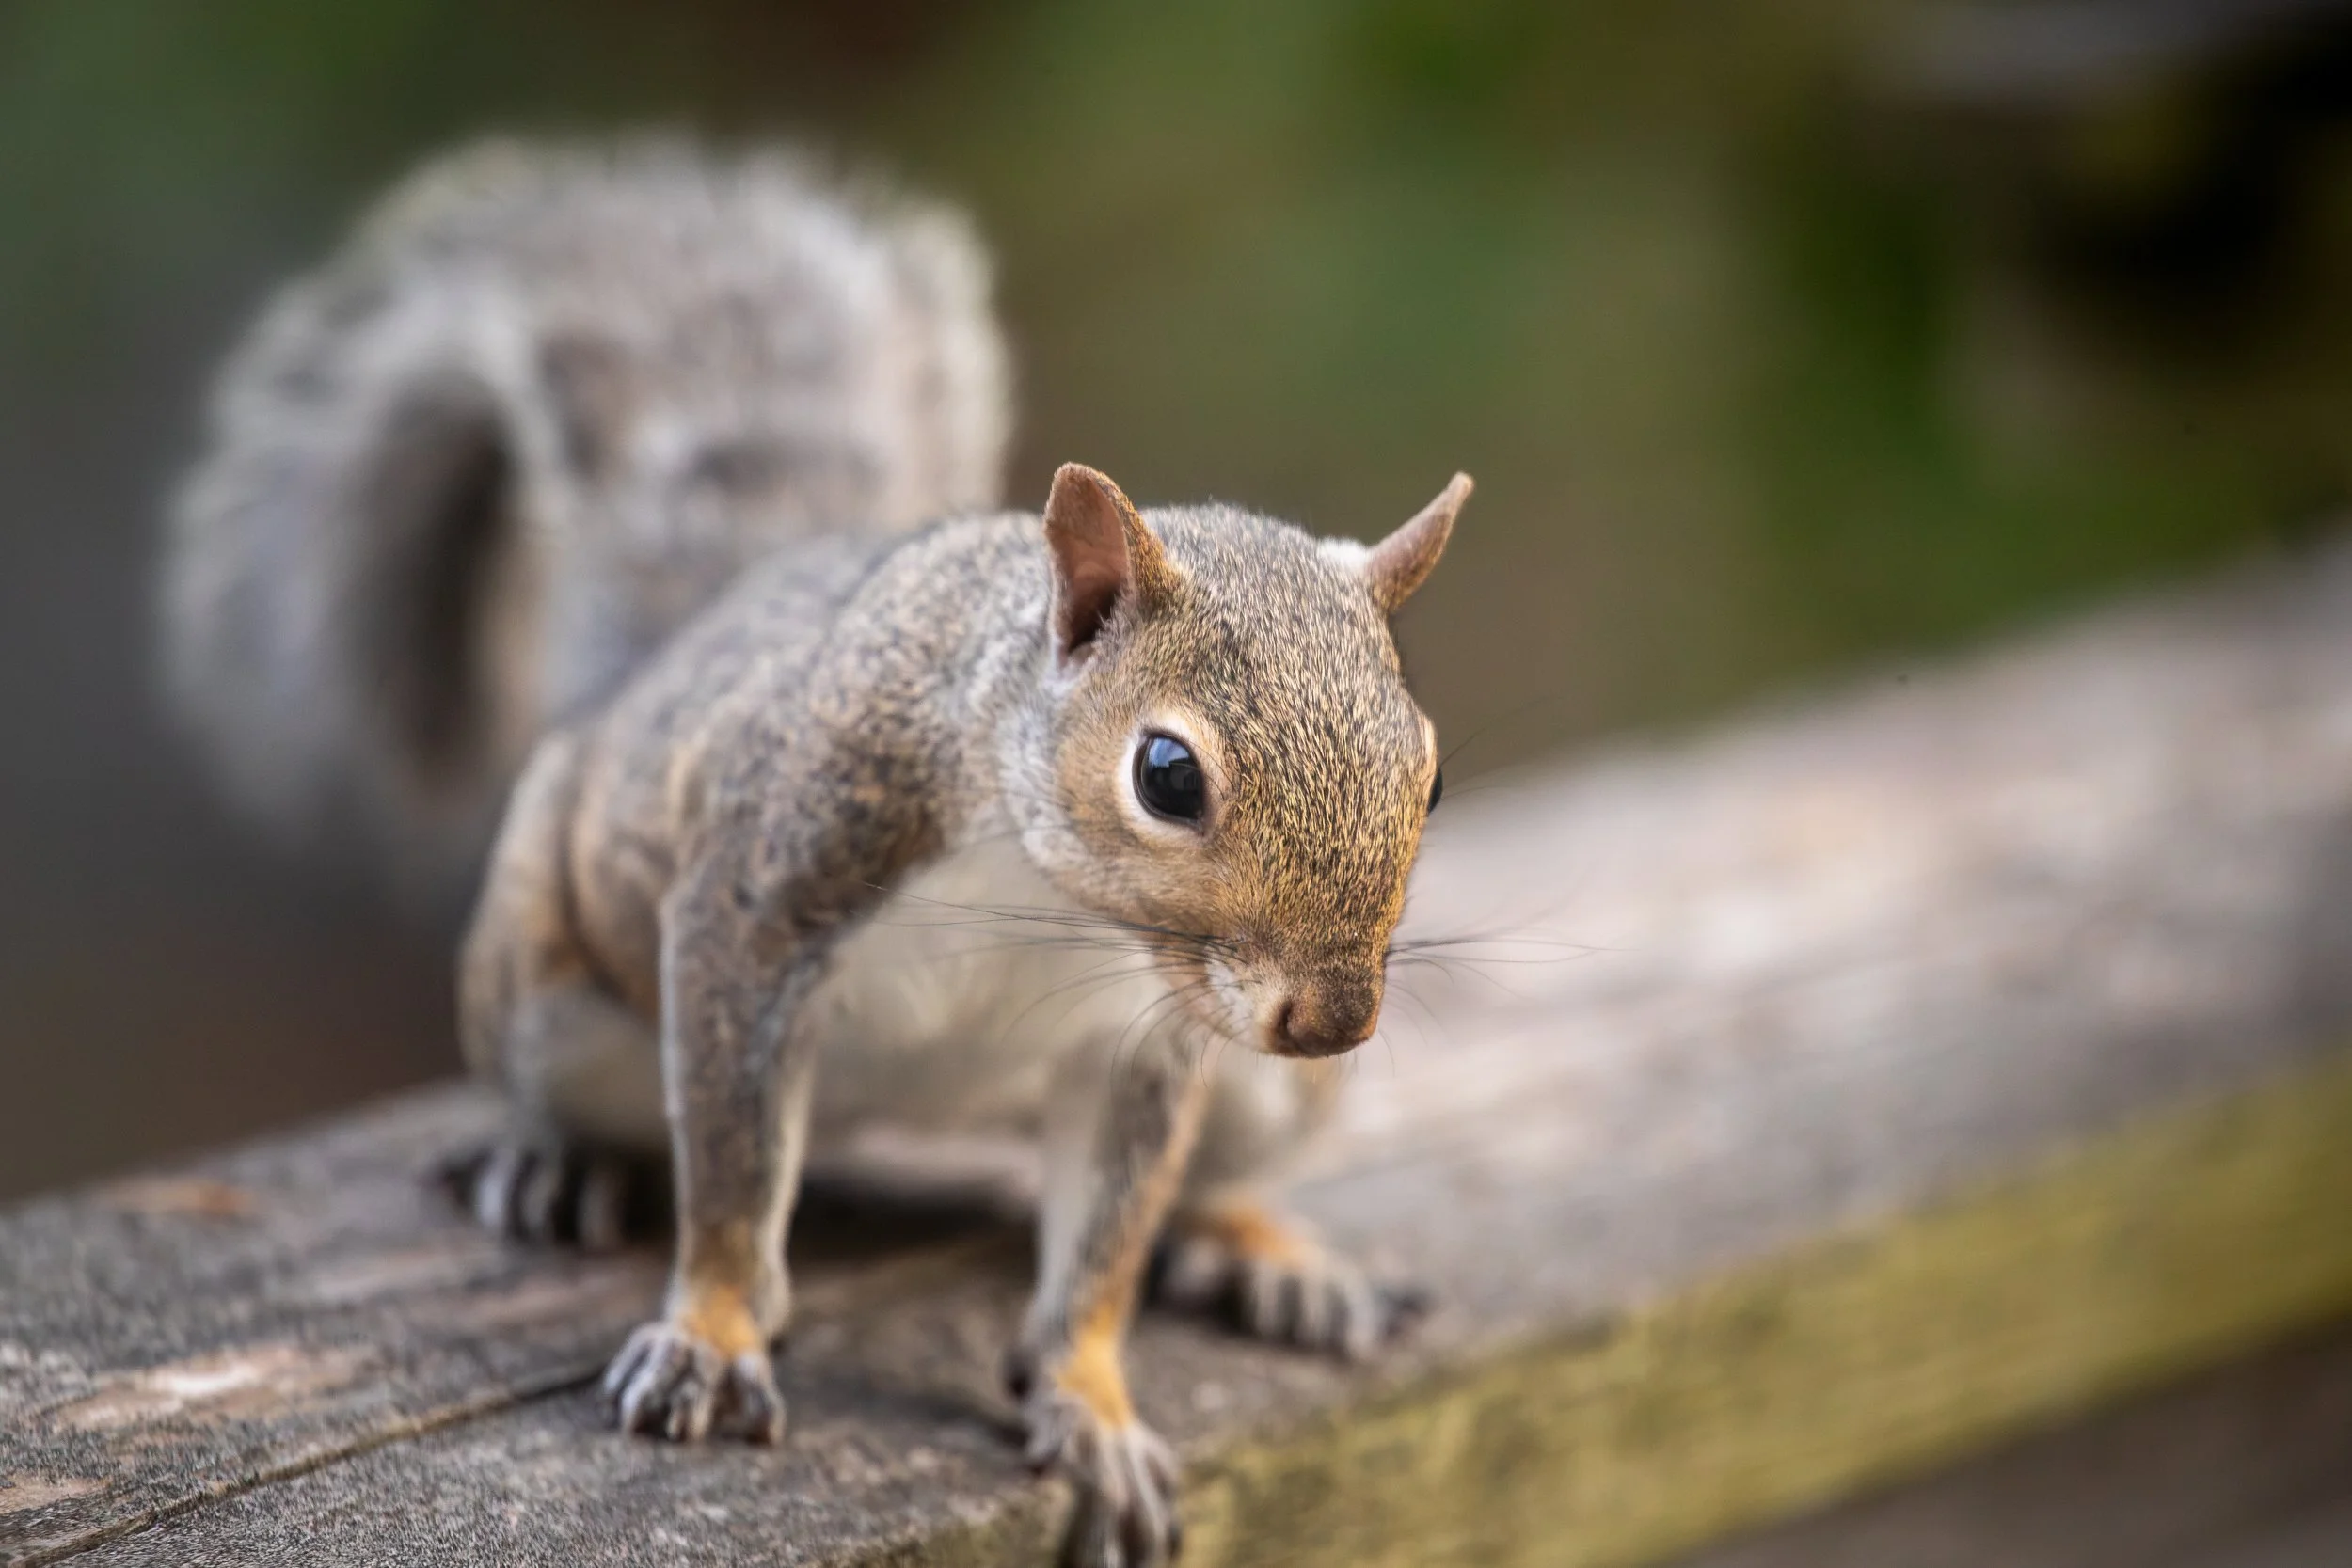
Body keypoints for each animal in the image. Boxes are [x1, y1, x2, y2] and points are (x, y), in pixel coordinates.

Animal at [163, 136, 1468, 1565]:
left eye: (1432, 767)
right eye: (1166, 774)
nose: (1335, 1019)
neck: (1047, 890)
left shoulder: (1141, 1045)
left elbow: (1106, 1241)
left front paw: (1094, 1404)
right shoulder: (760, 896)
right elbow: (734, 1181)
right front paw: (711, 1337)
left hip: (1261, 1097)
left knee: (1197, 1182)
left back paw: (1257, 1244)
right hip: (541, 991)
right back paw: (554, 1159)